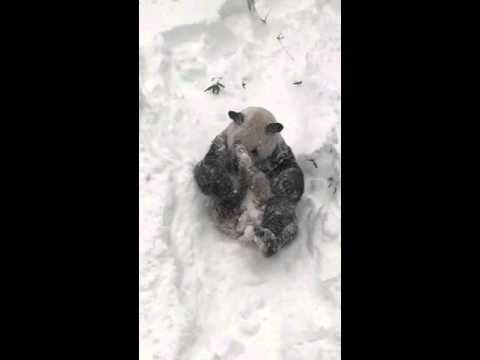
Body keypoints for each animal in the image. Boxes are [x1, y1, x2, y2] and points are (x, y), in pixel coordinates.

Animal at [192, 106, 302, 256]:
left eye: (255, 150)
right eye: (236, 141)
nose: (236, 164)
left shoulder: (278, 154)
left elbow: (291, 173)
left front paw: (285, 184)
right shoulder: (221, 143)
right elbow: (208, 170)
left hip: (275, 209)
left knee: (281, 214)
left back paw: (267, 239)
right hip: (221, 206)